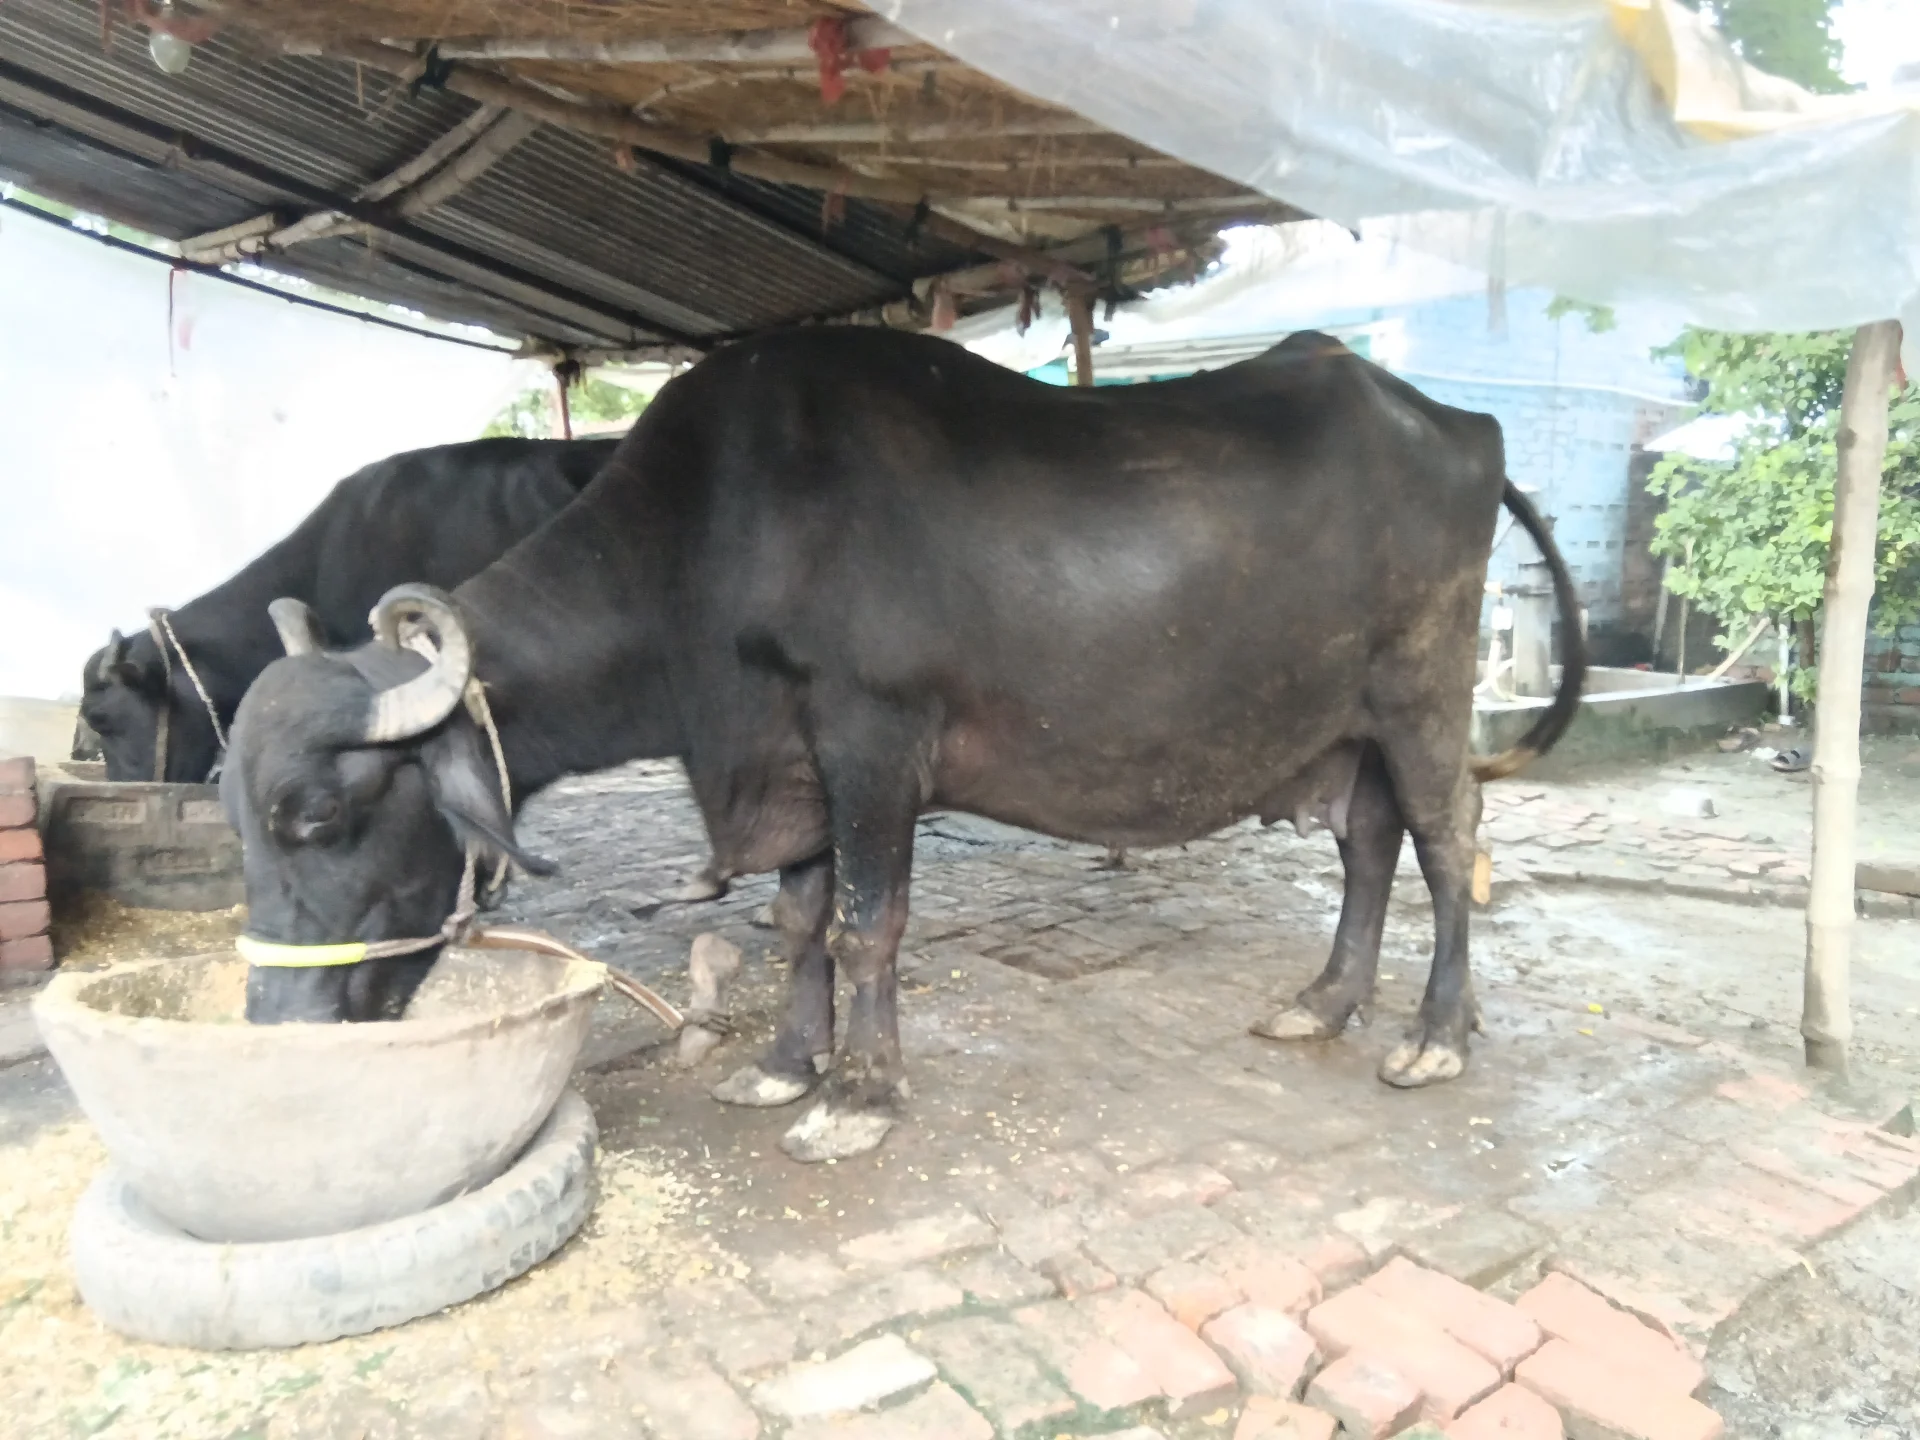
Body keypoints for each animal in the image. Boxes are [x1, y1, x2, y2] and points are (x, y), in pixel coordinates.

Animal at [224, 329, 1583, 1162]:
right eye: (237, 820)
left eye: (319, 816)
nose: (276, 1027)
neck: (704, 541)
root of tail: (1453, 425)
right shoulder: (791, 765)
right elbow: (793, 919)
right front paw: (785, 1065)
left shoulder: (871, 742)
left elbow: (864, 922)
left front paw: (858, 1098)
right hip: (1345, 725)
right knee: (1368, 843)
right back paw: (1326, 1002)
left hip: (1421, 694)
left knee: (1446, 840)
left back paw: (1433, 1036)